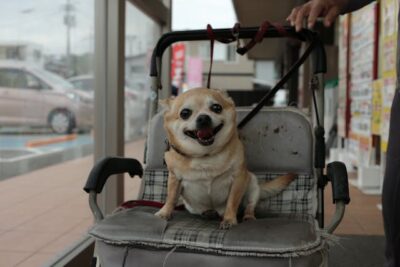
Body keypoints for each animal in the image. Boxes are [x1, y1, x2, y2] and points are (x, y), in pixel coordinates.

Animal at [155, 88, 296, 230]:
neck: (205, 155)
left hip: (252, 184)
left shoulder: (238, 179)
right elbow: (171, 197)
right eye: (185, 113)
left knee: (250, 206)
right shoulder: (175, 178)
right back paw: (208, 213)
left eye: (216, 108)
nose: (203, 117)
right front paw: (164, 212)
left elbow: (232, 201)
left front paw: (229, 219)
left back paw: (248, 216)